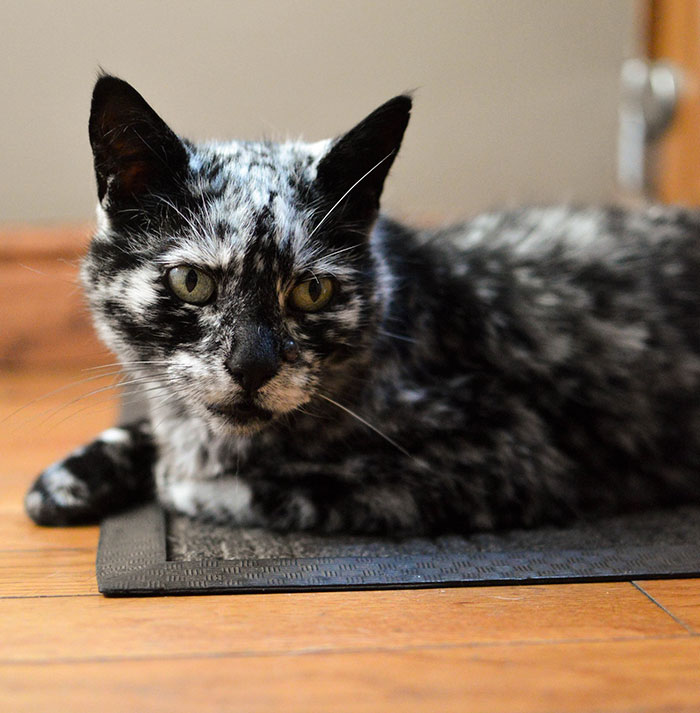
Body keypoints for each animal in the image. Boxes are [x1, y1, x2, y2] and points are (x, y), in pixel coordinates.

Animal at [24, 75, 700, 536]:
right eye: (192, 282)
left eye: (312, 291)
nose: (252, 367)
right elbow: (153, 425)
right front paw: (68, 480)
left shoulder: (507, 457)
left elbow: (294, 483)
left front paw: (182, 480)